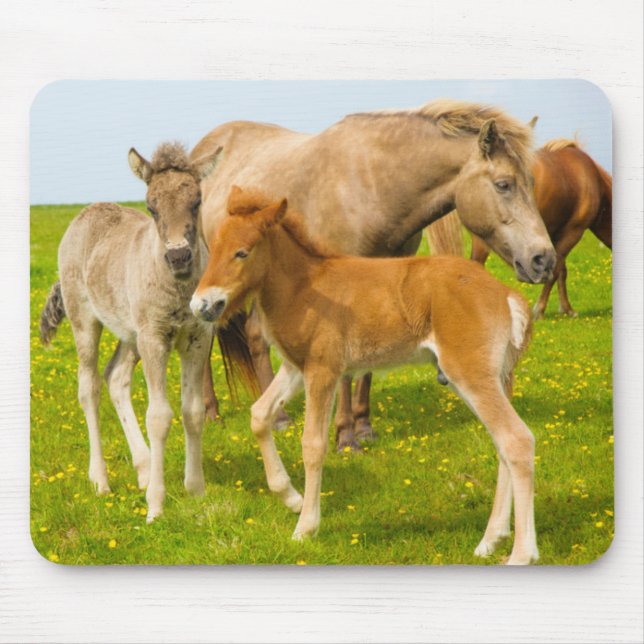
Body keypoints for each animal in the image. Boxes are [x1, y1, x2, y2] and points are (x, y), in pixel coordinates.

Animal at [39, 142, 223, 521]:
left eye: (197, 201)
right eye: (151, 207)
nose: (179, 257)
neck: (178, 289)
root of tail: (85, 213)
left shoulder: (197, 338)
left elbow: (193, 412)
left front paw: (195, 490)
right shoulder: (154, 338)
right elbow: (159, 416)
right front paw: (156, 506)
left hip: (130, 334)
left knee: (116, 377)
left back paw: (143, 468)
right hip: (85, 322)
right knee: (90, 387)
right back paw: (100, 480)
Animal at [191, 99, 556, 450]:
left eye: (532, 182)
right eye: (504, 185)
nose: (544, 259)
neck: (373, 184)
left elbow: (365, 368)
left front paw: (363, 427)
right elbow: (345, 374)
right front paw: (345, 437)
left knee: (254, 335)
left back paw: (276, 415)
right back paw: (213, 412)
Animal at [191, 187, 539, 565]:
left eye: (242, 252)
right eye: (213, 248)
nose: (201, 305)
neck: (304, 286)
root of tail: (506, 295)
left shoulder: (324, 369)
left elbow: (313, 444)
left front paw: (305, 527)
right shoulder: (297, 367)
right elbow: (259, 415)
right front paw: (290, 497)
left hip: (471, 374)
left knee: (516, 440)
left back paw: (522, 553)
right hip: (493, 378)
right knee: (502, 445)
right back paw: (490, 540)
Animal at [467, 139, 611, 318]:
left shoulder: (556, 236)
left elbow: (561, 271)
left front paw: (566, 309)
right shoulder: (573, 232)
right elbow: (555, 271)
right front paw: (540, 311)